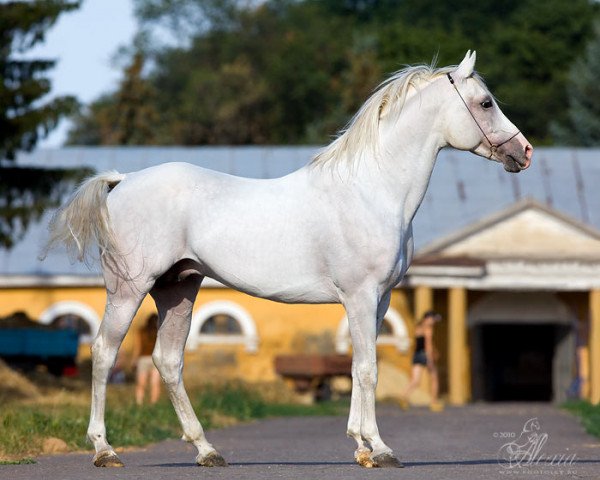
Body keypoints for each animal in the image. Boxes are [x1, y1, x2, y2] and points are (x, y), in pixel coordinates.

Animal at [48, 52, 536, 468]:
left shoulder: (377, 301)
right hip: (129, 289)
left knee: (168, 362)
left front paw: (361, 446)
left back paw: (207, 451)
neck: (373, 191)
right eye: (486, 102)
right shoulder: (361, 296)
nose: (525, 152)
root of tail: (123, 180)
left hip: (178, 288)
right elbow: (368, 369)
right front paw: (379, 449)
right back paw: (105, 450)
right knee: (104, 353)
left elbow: (358, 367)